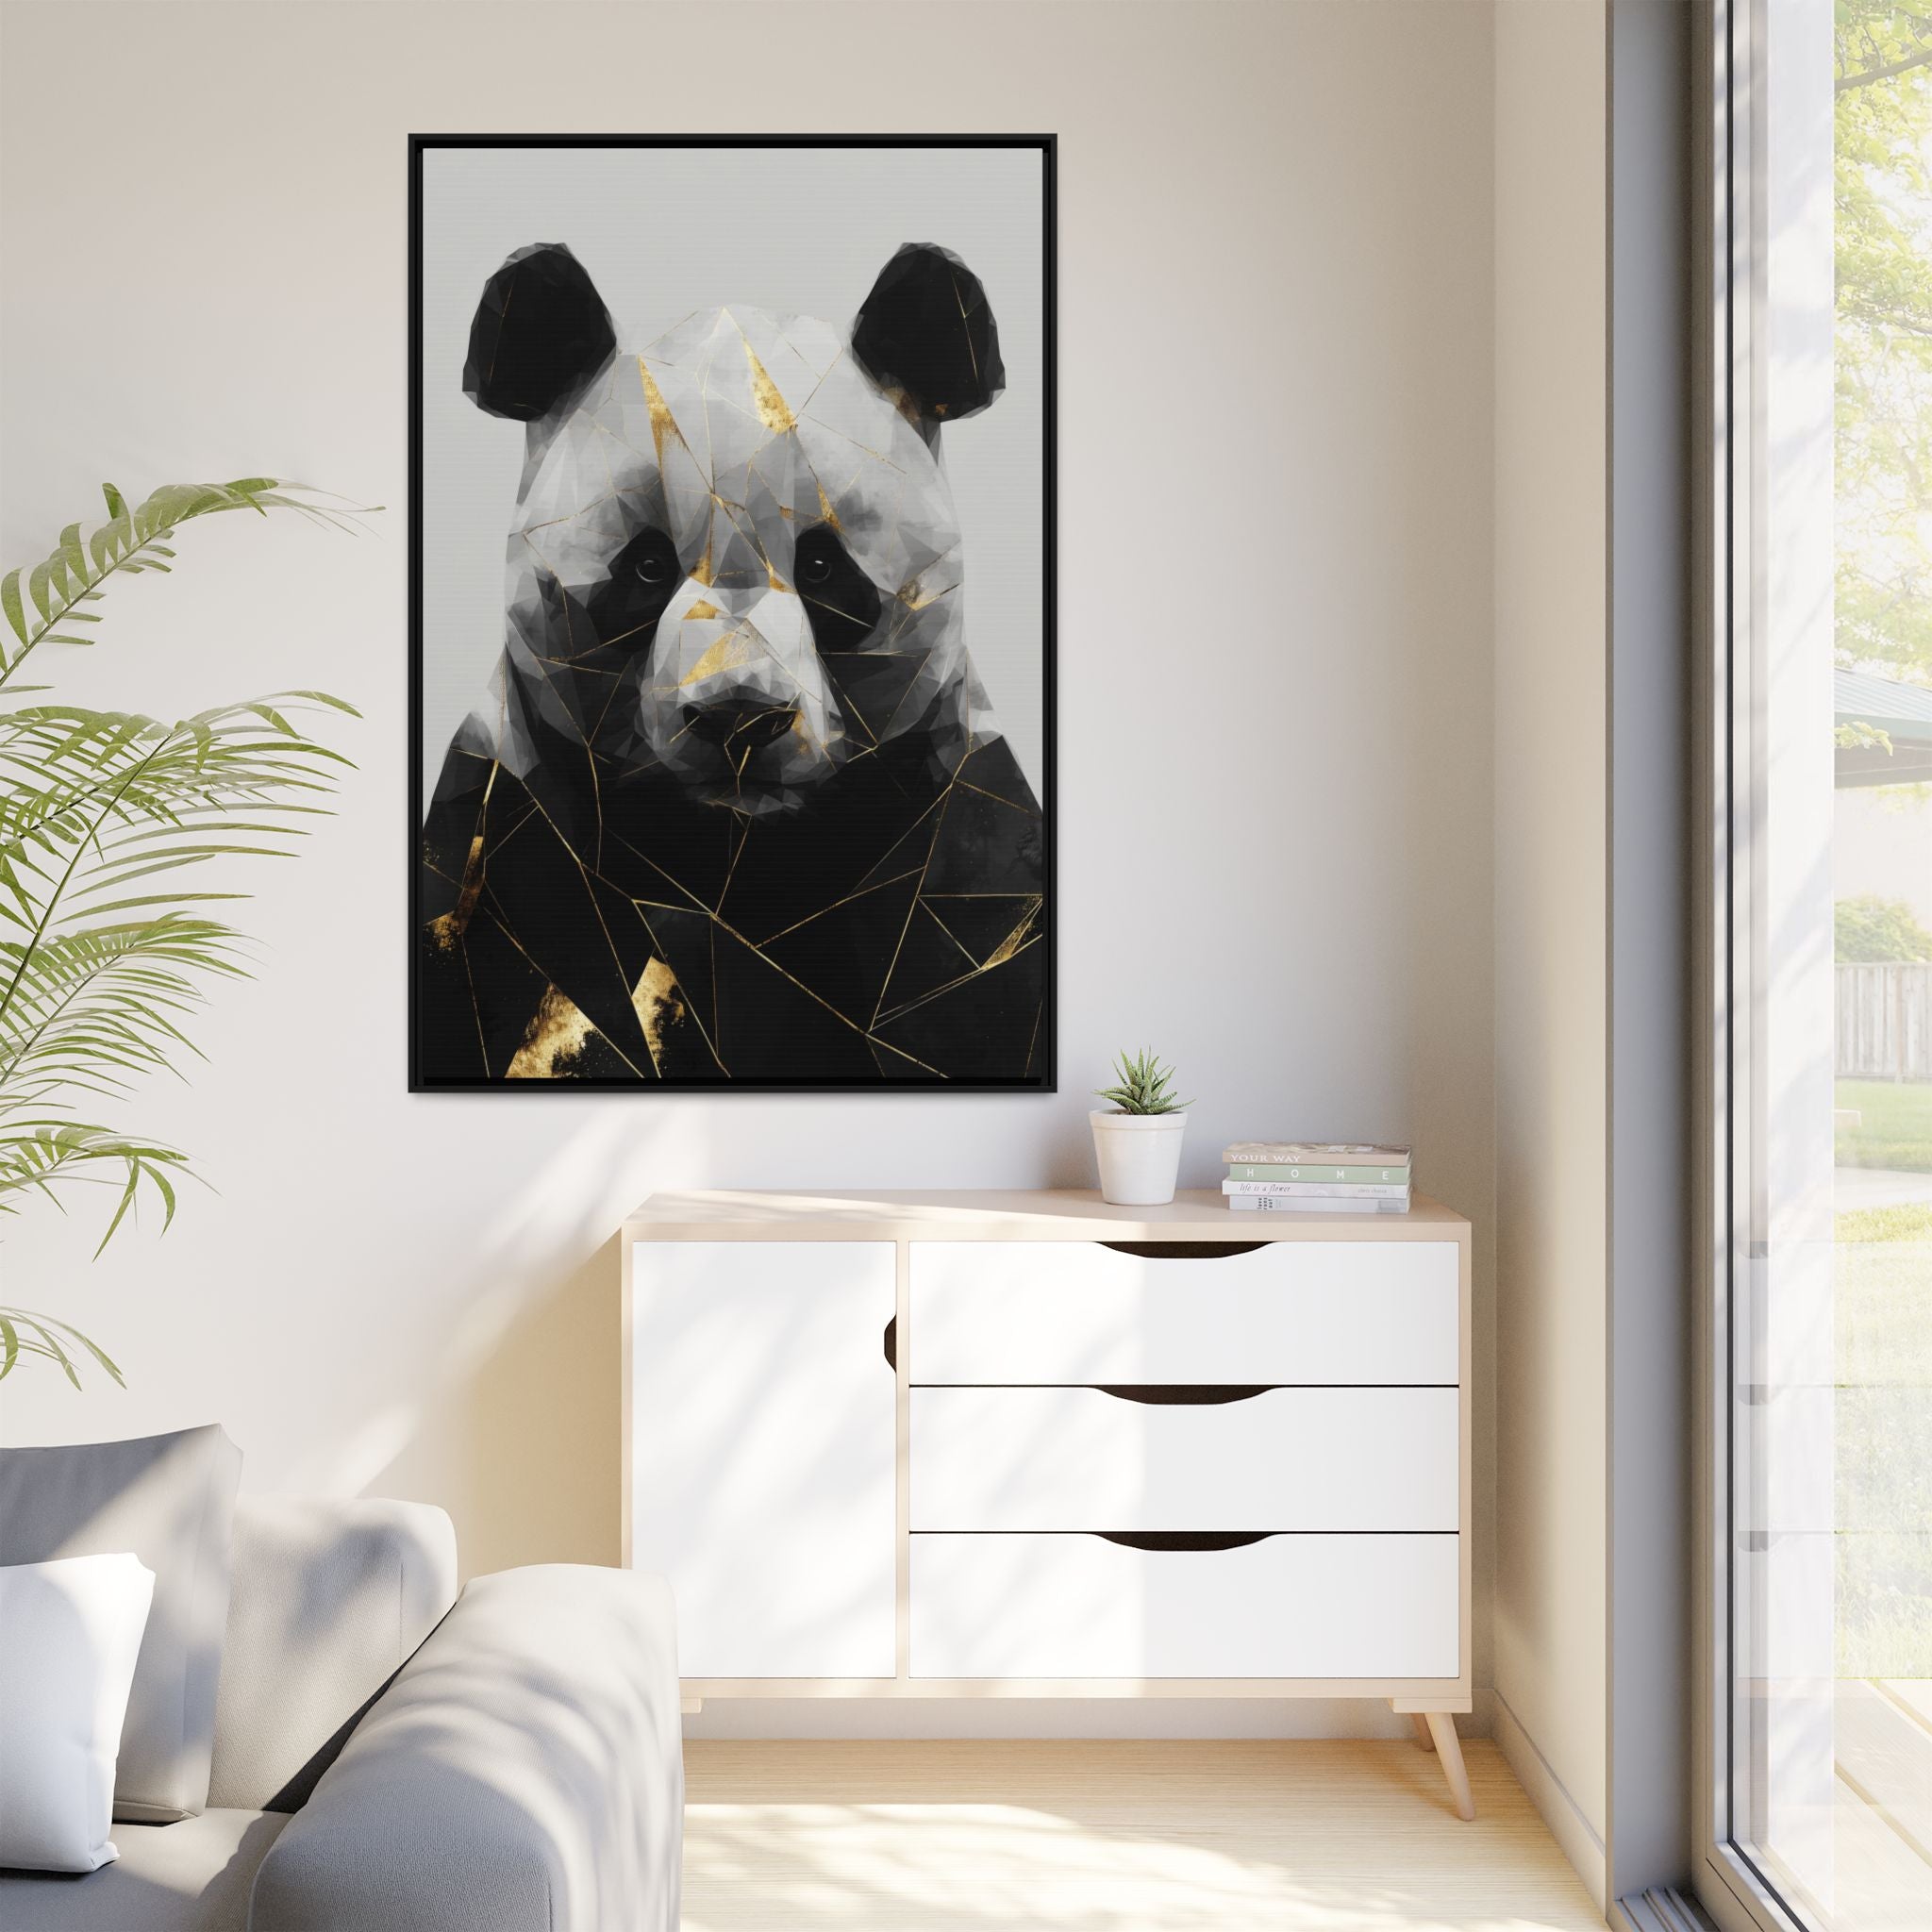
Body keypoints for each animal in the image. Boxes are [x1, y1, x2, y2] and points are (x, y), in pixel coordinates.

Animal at [416, 241, 1046, 1086]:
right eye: (647, 567)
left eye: (822, 567)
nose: (740, 717)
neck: (734, 865)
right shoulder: (505, 838)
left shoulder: (959, 844)